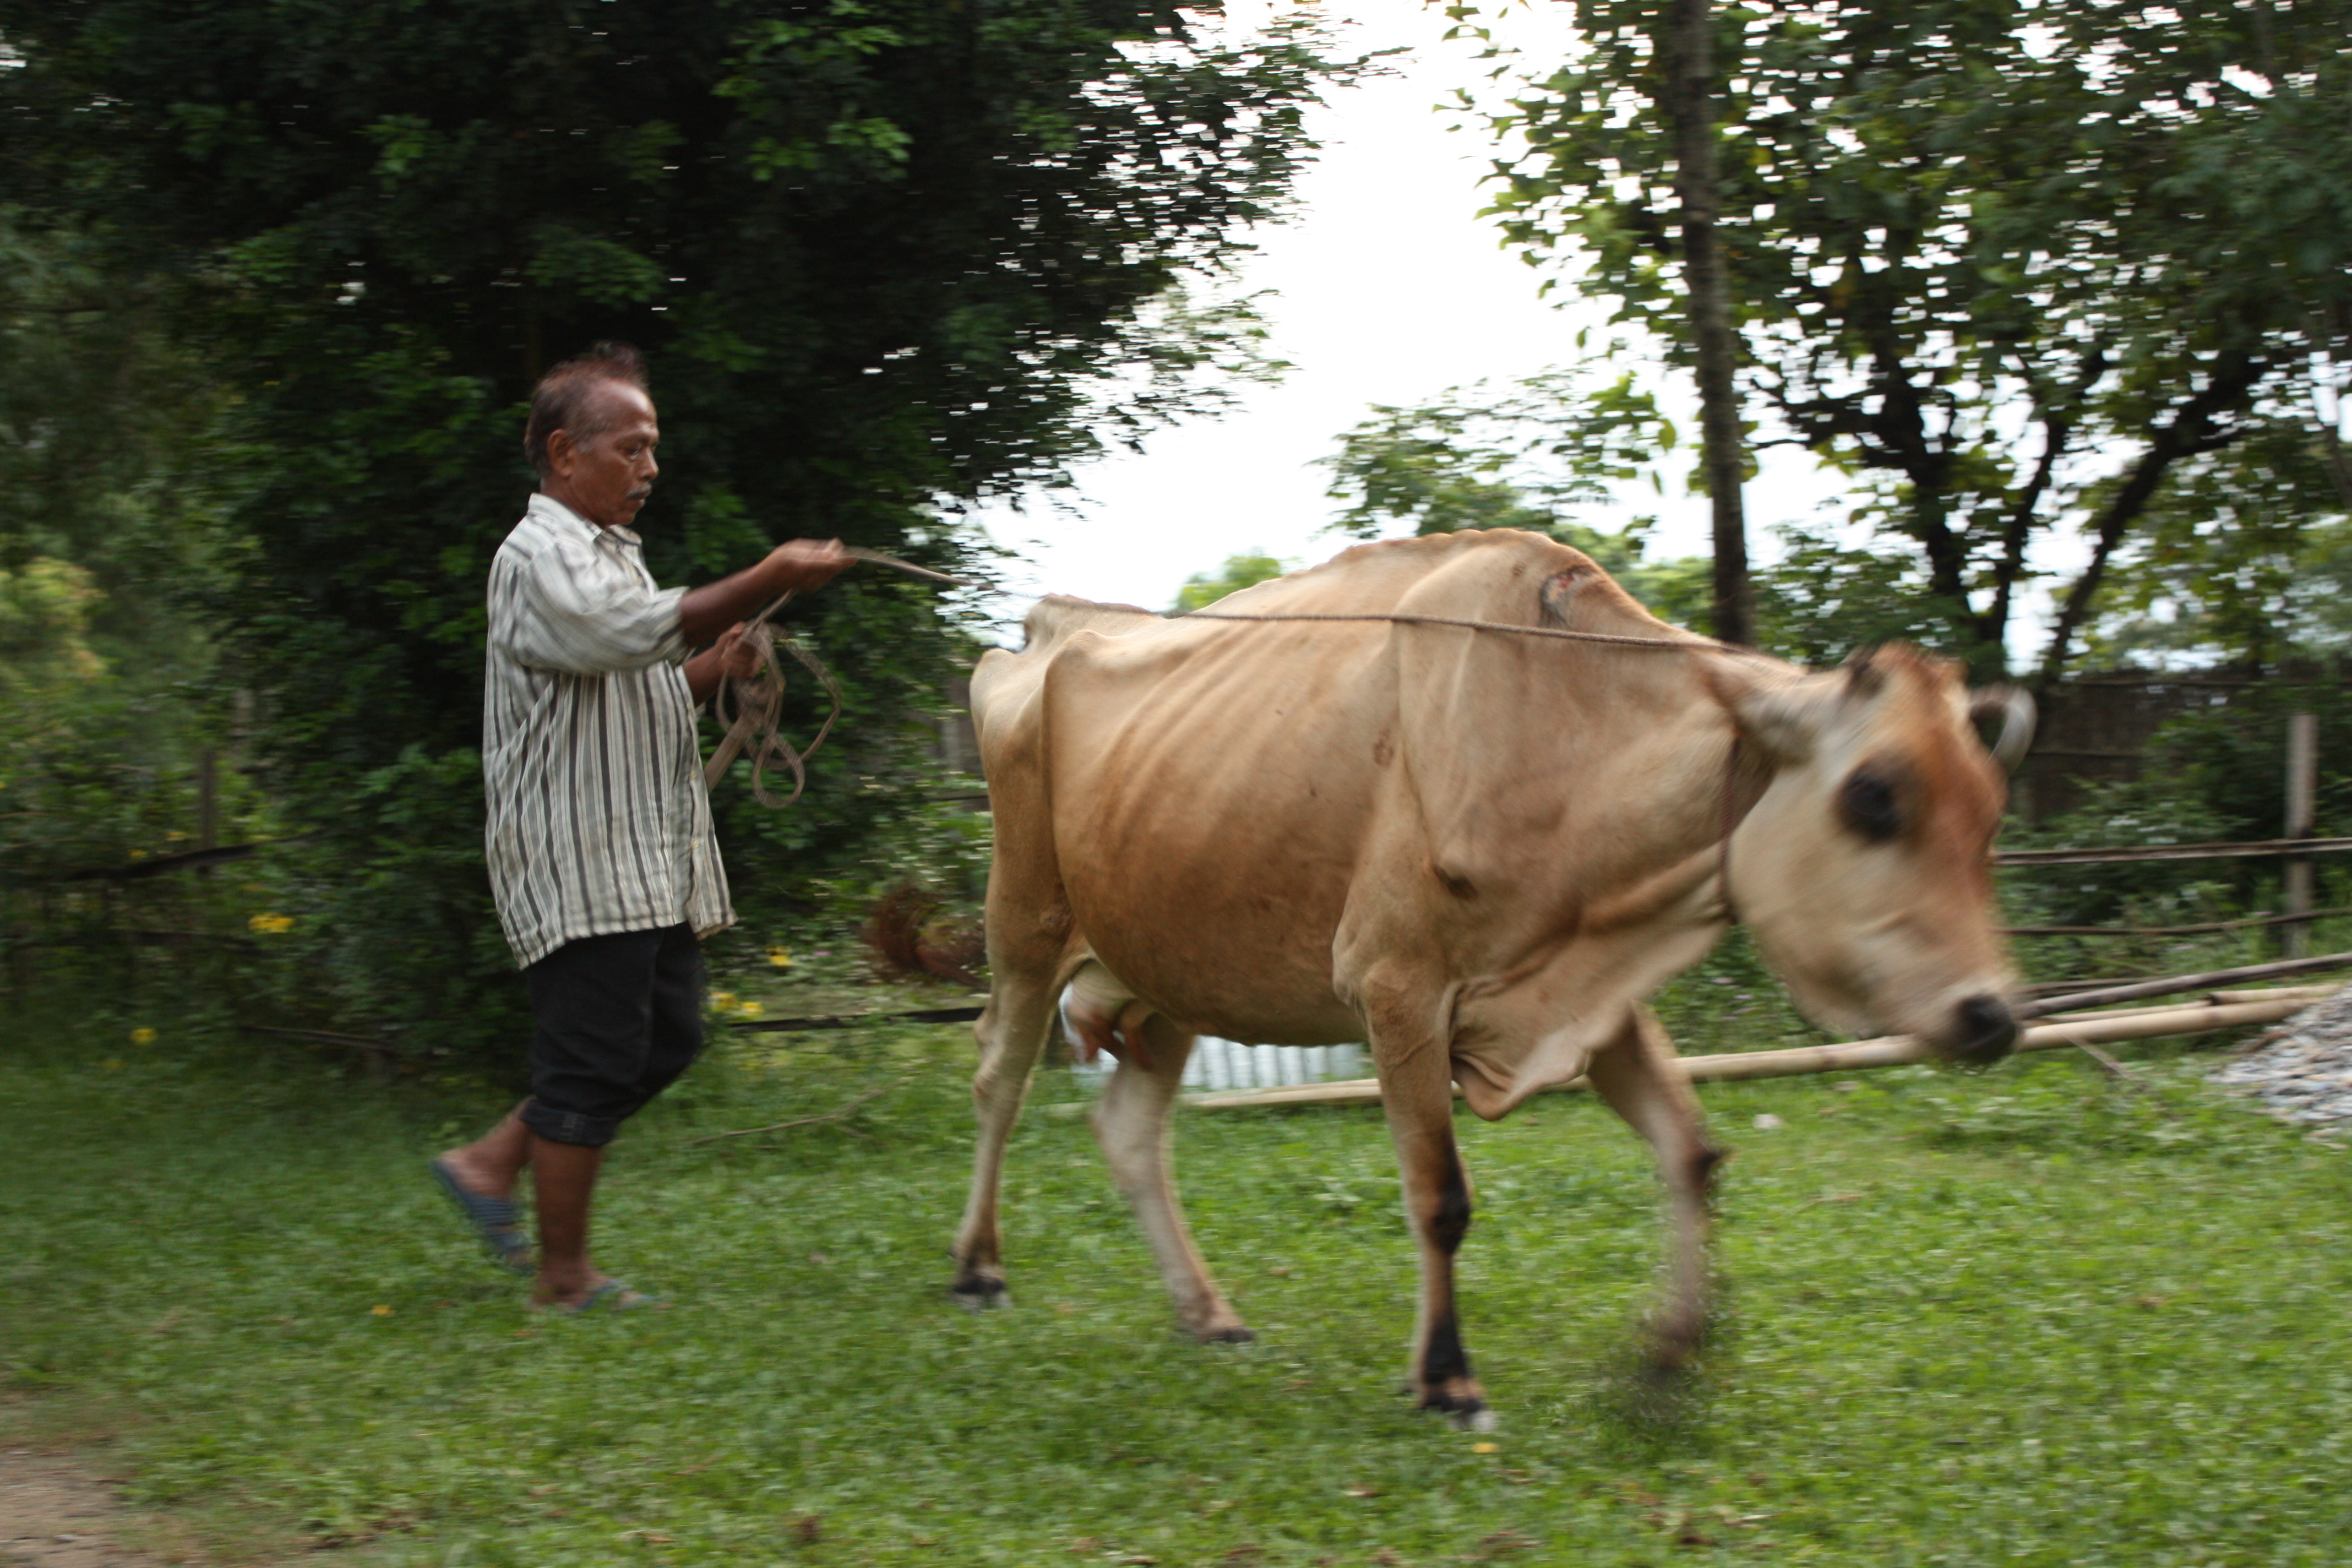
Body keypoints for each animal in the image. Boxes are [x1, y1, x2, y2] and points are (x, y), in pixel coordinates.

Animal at [949, 527, 2029, 1428]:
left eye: (1989, 805)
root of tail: (1044, 632)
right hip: (1025, 927)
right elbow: (1441, 1196)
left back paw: (1208, 1312)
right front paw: (1446, 1377)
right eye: (1872, 794)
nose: (1991, 1015)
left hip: (1172, 968)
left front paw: (1671, 1351)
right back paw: (979, 1268)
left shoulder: (1590, 997)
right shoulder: (1396, 987)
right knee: (997, 1079)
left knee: (1130, 1131)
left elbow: (1691, 1152)